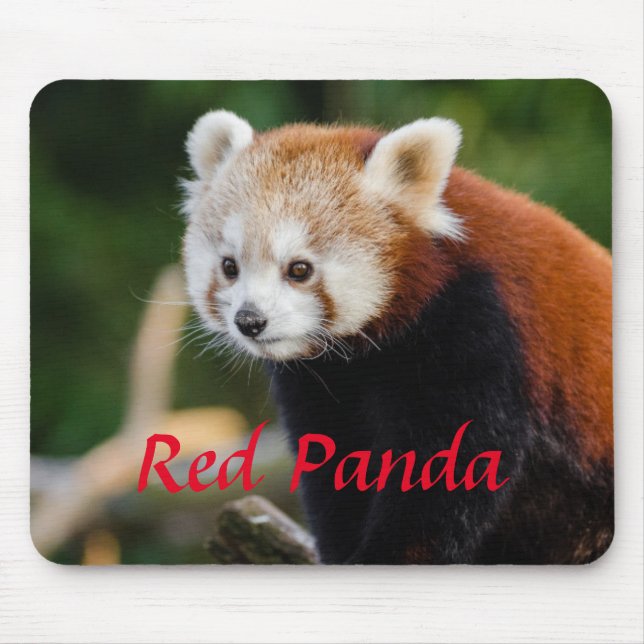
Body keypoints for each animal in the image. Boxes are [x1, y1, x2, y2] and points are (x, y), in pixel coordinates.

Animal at [181, 110, 613, 564]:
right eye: (230, 267)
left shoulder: (478, 325)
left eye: (299, 269)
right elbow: (334, 463)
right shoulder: (323, 382)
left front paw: (390, 556)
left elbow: (450, 470)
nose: (249, 320)